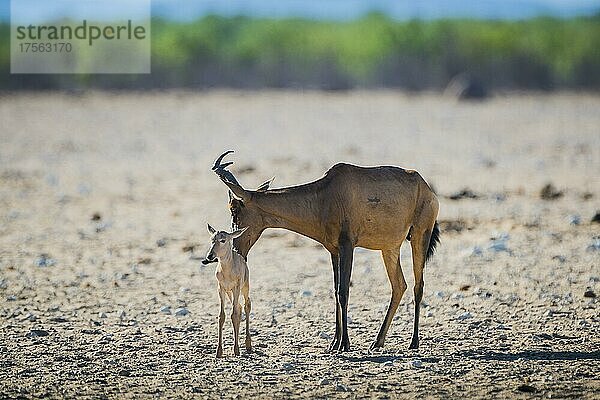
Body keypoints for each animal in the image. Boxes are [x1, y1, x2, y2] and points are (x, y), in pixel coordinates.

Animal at [204, 223, 251, 358]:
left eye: (223, 240)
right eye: (212, 239)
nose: (209, 256)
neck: (227, 271)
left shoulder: (236, 287)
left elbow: (234, 315)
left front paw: (236, 350)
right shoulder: (221, 288)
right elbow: (222, 316)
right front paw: (219, 351)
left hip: (244, 287)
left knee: (246, 305)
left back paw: (248, 344)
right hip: (229, 293)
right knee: (239, 307)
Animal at [211, 151, 440, 354]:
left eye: (235, 211)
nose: (236, 251)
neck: (325, 195)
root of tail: (426, 187)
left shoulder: (348, 246)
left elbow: (343, 291)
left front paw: (344, 344)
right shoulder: (333, 250)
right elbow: (335, 291)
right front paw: (334, 343)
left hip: (420, 235)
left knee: (418, 286)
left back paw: (414, 342)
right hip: (389, 247)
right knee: (399, 285)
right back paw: (377, 342)